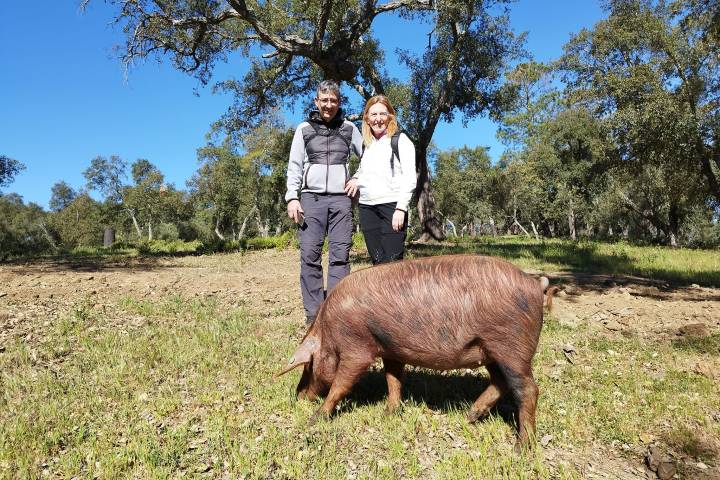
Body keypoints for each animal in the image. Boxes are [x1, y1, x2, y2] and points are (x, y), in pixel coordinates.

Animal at [278, 254, 558, 448]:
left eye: (308, 364)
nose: (298, 396)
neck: (329, 328)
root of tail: (535, 284)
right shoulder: (391, 350)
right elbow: (393, 380)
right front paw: (388, 413)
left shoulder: (357, 347)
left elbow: (341, 384)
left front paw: (315, 419)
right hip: (491, 351)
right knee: (501, 382)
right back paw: (469, 416)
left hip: (512, 346)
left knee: (528, 389)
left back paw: (522, 448)